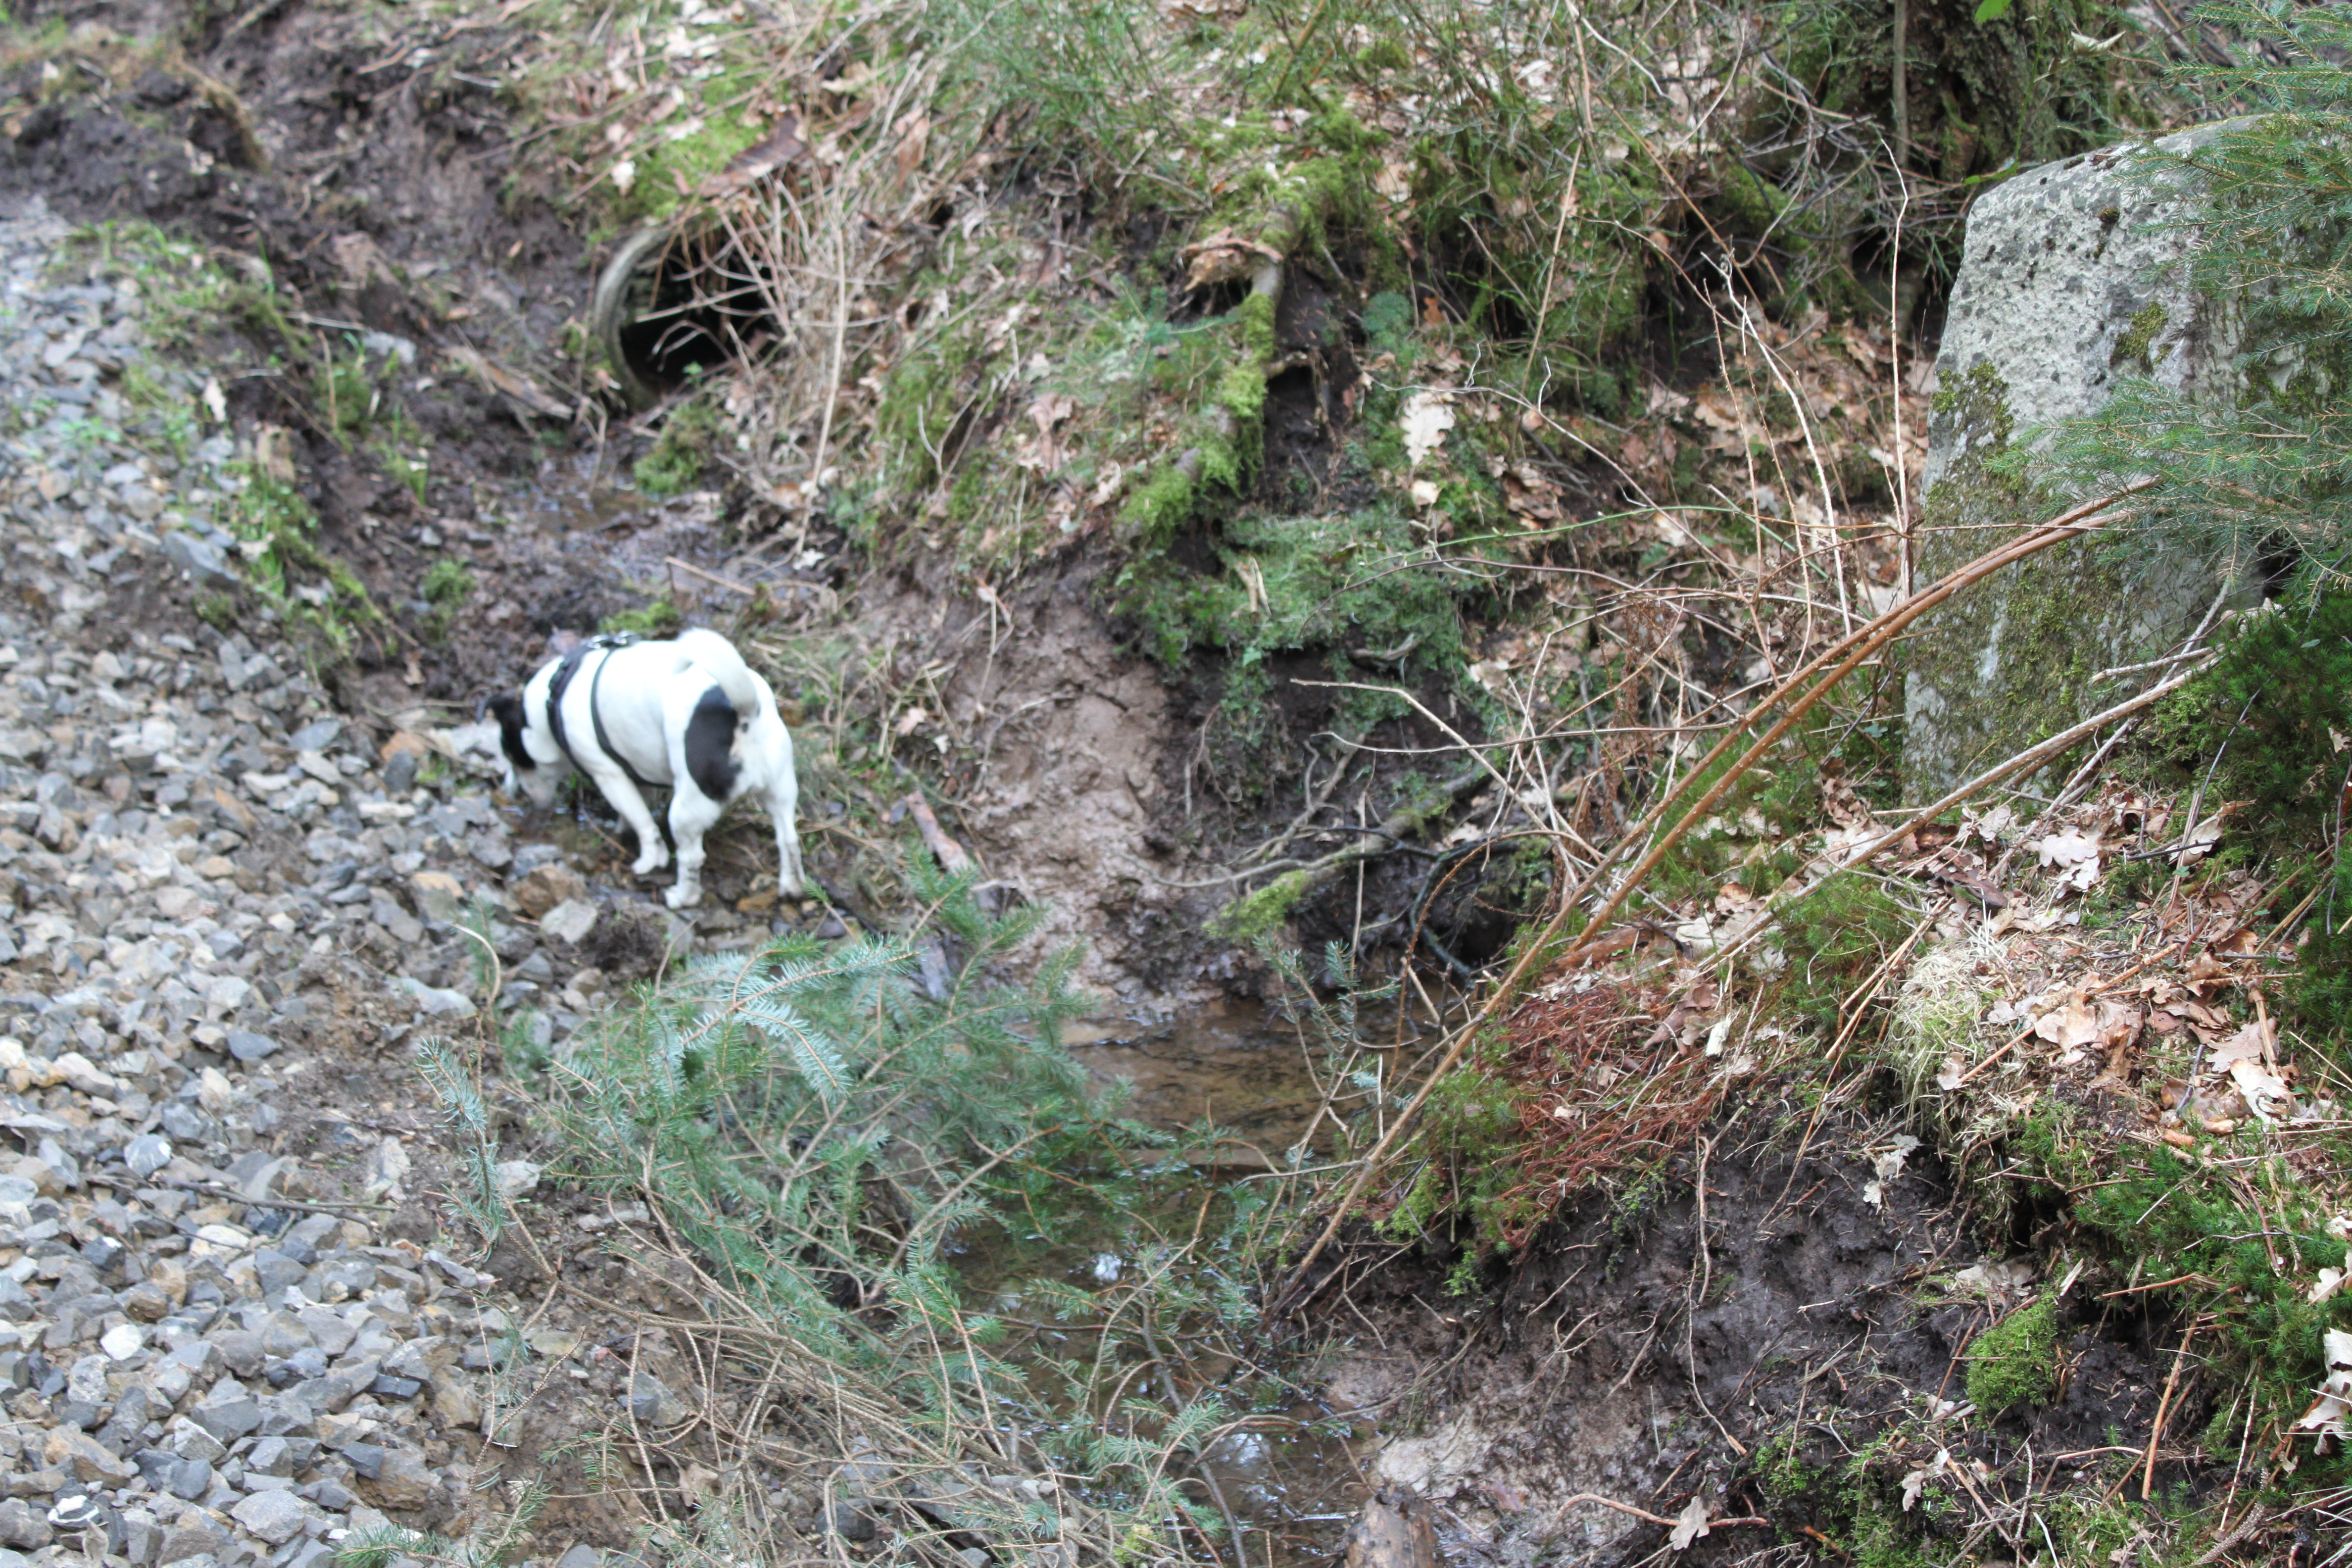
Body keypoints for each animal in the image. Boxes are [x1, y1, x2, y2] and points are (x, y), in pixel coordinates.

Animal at [487, 628, 806, 911]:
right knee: (788, 839)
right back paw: (792, 887)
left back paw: (682, 897)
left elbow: (644, 823)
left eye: (511, 756)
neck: (552, 699)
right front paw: (622, 828)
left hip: (686, 810)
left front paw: (649, 860)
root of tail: (743, 712)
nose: (509, 790)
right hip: (780, 792)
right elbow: (637, 808)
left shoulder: (608, 774)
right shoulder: (636, 770)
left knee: (691, 857)